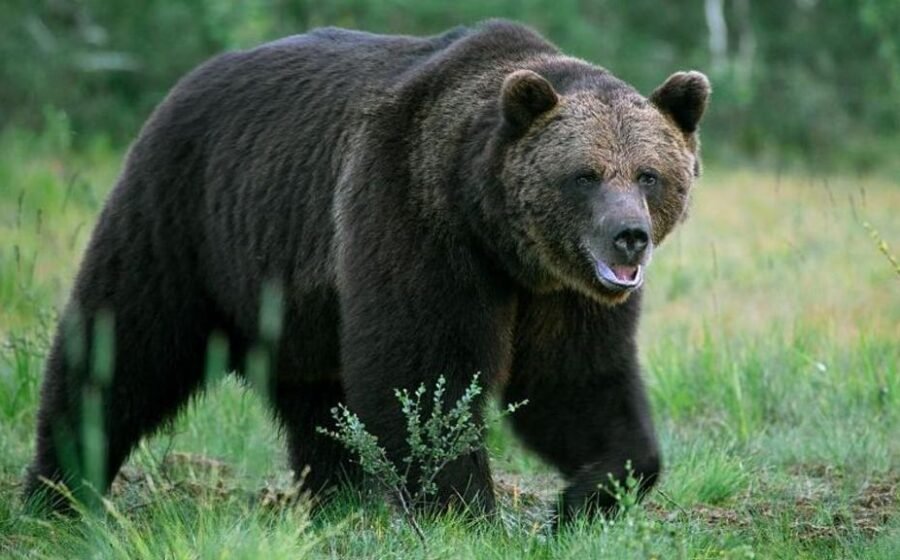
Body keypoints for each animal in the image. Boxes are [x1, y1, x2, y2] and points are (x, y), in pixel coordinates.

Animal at [24, 20, 709, 522]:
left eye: (648, 174)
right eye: (585, 175)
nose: (629, 238)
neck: (496, 234)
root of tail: (190, 78)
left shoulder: (562, 293)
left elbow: (577, 382)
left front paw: (588, 497)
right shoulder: (414, 218)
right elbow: (422, 373)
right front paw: (463, 508)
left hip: (293, 292)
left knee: (316, 399)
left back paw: (340, 498)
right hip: (183, 217)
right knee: (123, 344)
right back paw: (58, 488)